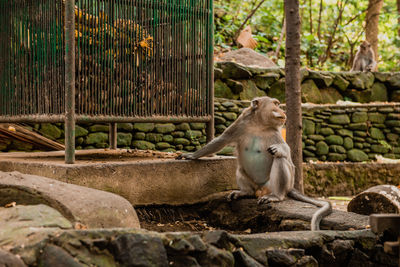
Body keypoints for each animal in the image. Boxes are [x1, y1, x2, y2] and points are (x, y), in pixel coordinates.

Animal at [180, 97, 332, 232]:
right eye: (276, 104)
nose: (283, 111)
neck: (259, 124)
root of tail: (261, 189)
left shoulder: (275, 132)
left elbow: (287, 154)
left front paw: (279, 150)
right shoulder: (241, 123)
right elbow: (221, 140)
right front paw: (192, 155)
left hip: (275, 185)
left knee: (280, 160)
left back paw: (277, 196)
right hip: (252, 183)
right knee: (240, 169)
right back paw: (245, 192)